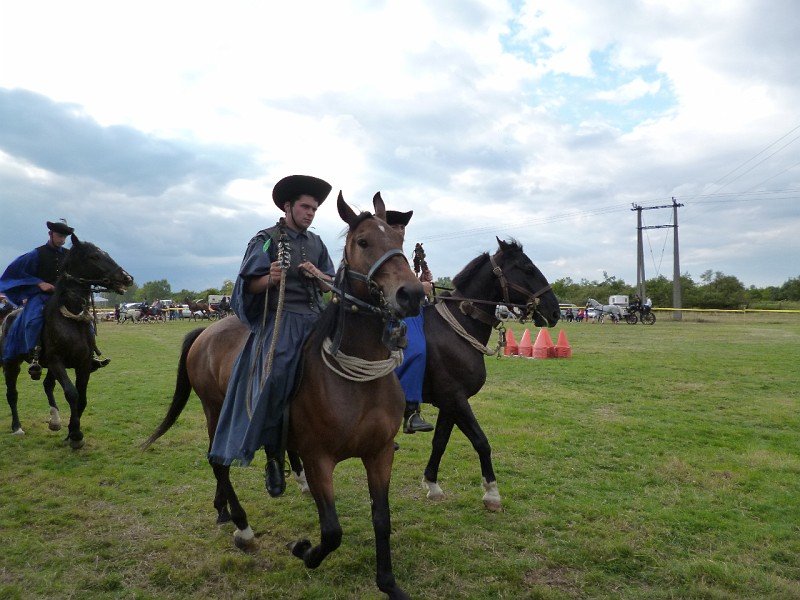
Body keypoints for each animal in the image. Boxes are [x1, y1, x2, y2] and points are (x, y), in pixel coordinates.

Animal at [1, 235, 133, 446]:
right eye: (94, 256)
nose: (126, 278)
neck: (70, 318)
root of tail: (7, 316)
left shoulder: (83, 364)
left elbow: (82, 398)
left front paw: (71, 432)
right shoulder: (57, 361)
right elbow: (72, 393)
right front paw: (76, 435)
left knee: (48, 385)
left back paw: (55, 421)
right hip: (12, 363)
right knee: (12, 393)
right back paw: (17, 426)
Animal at [143, 192, 424, 599]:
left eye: (400, 239)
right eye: (363, 242)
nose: (412, 294)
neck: (358, 384)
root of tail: (205, 332)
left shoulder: (380, 453)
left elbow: (381, 519)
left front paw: (388, 583)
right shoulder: (320, 458)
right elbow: (332, 531)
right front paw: (304, 550)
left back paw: (226, 507)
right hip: (216, 411)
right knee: (218, 461)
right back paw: (242, 527)